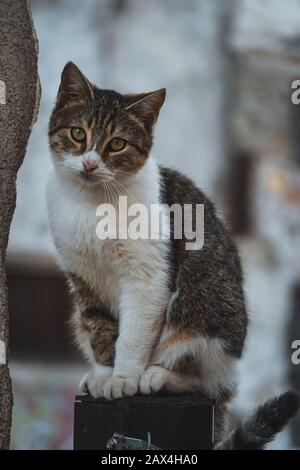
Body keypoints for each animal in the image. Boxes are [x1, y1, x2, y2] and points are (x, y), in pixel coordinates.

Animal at [47, 62, 298, 448]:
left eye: (116, 144)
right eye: (78, 133)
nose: (89, 164)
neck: (91, 204)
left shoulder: (148, 277)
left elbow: (132, 334)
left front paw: (124, 378)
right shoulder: (82, 277)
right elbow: (99, 328)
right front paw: (105, 374)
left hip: (200, 305)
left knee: (205, 381)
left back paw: (158, 376)